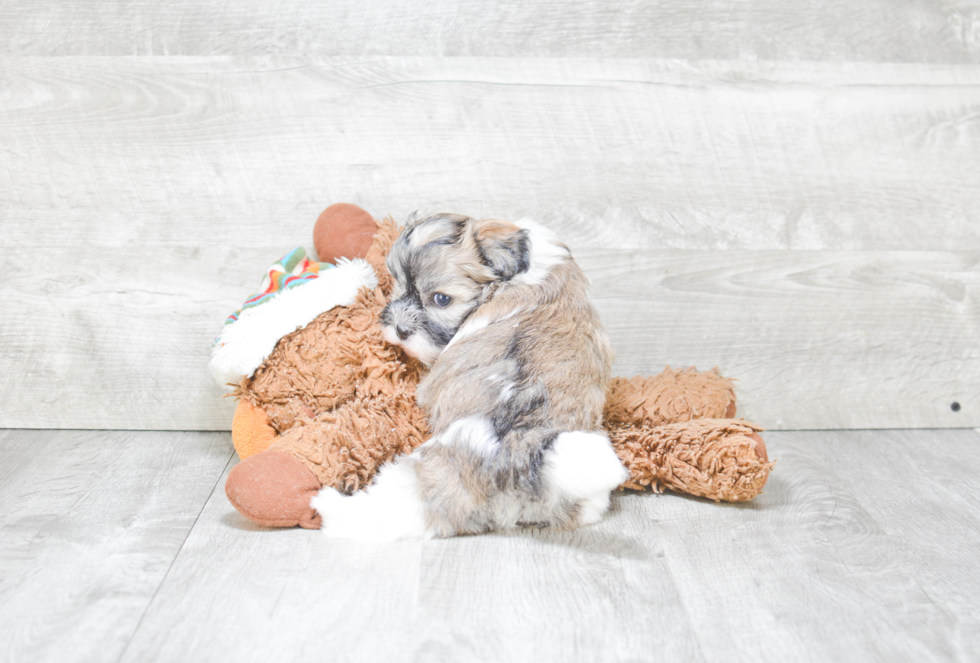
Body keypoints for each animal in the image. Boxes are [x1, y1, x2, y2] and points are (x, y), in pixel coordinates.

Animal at [308, 214, 628, 540]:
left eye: (441, 299)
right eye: (398, 285)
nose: (400, 330)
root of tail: (513, 460)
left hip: (433, 473)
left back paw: (330, 506)